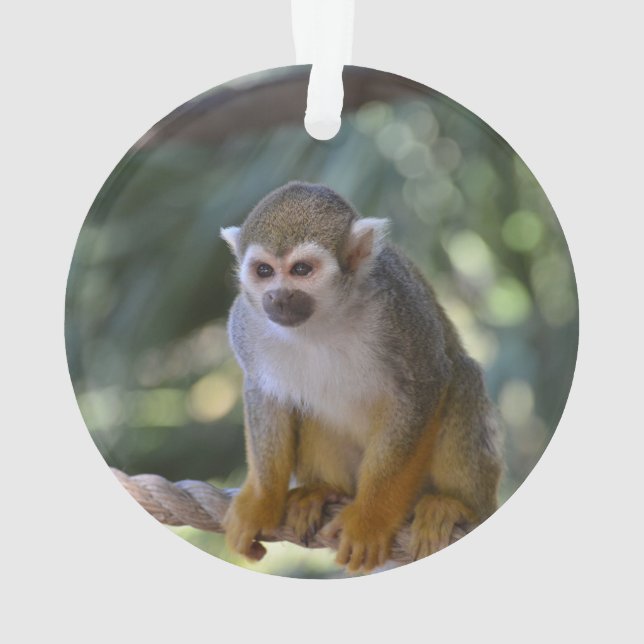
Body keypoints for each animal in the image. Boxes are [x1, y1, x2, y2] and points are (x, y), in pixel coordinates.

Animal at [219, 181, 502, 572]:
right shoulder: (245, 320)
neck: (324, 318)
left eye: (301, 269)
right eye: (263, 271)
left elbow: (425, 382)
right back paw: (322, 490)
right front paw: (260, 502)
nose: (277, 297)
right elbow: (265, 395)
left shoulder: (398, 305)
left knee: (463, 377)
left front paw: (370, 519)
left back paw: (456, 506)